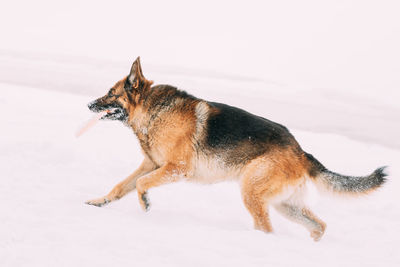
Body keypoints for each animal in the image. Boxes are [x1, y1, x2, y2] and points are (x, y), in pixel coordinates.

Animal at [86, 57, 386, 242]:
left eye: (110, 94)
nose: (89, 105)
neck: (153, 110)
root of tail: (301, 152)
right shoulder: (151, 165)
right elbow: (121, 186)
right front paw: (100, 202)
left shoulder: (175, 169)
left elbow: (141, 185)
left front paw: (146, 203)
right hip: (285, 205)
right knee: (319, 226)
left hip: (252, 193)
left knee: (267, 229)